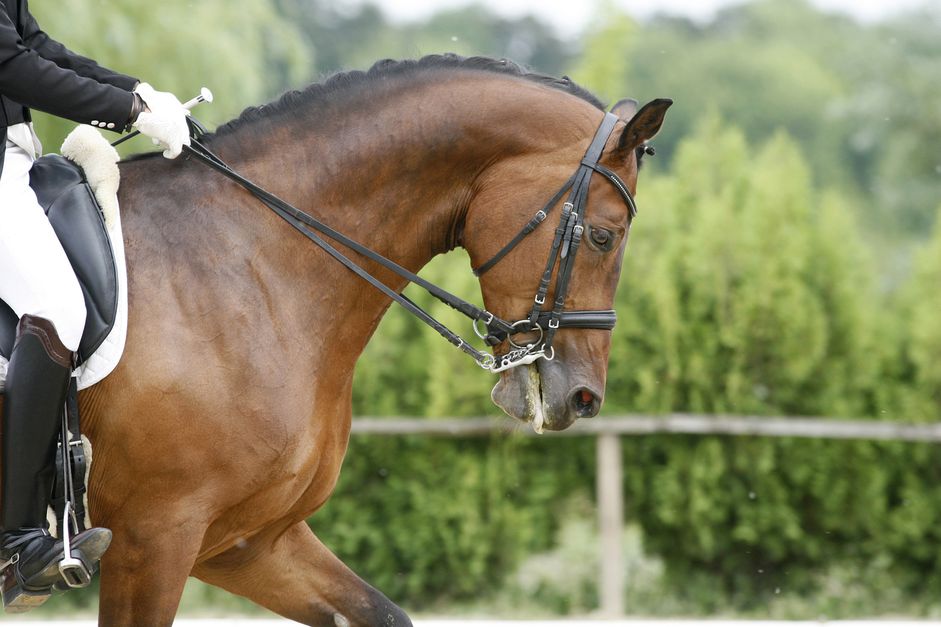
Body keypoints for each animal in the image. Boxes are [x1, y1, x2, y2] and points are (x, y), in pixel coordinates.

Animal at [0, 56, 668, 624]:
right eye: (604, 236)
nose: (583, 398)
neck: (253, 260)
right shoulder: (154, 537)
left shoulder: (245, 541)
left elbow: (383, 613)